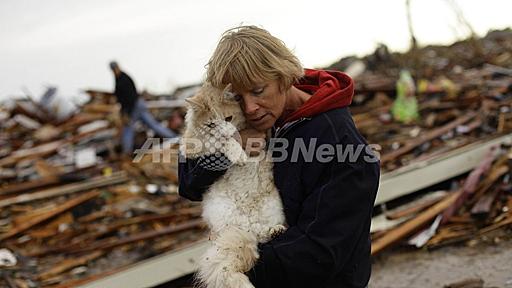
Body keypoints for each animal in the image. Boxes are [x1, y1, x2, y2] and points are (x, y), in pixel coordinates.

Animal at [180, 82, 286, 286]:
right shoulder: (193, 145)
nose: (226, 131)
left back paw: (275, 231)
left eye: (228, 118)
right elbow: (220, 142)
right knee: (255, 234)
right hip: (228, 216)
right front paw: (238, 154)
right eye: (211, 124)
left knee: (261, 233)